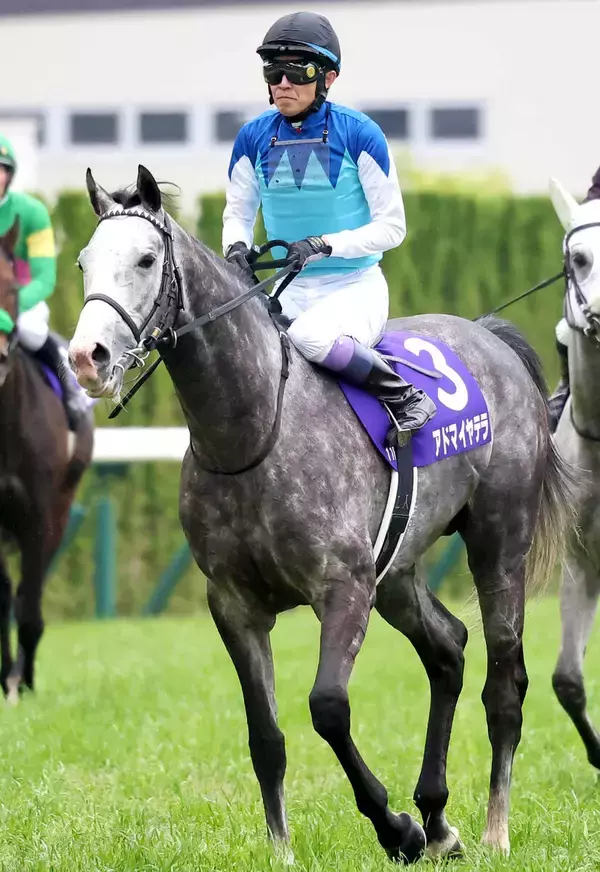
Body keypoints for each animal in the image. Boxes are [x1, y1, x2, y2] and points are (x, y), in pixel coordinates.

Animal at [68, 165, 575, 863]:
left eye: (145, 259)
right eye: (84, 261)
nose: (85, 356)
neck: (253, 432)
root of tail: (486, 333)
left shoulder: (343, 587)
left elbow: (328, 707)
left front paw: (395, 828)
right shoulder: (234, 605)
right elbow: (265, 736)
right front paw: (283, 850)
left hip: (499, 542)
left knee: (505, 680)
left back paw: (493, 830)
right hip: (397, 572)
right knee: (447, 649)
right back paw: (439, 819)